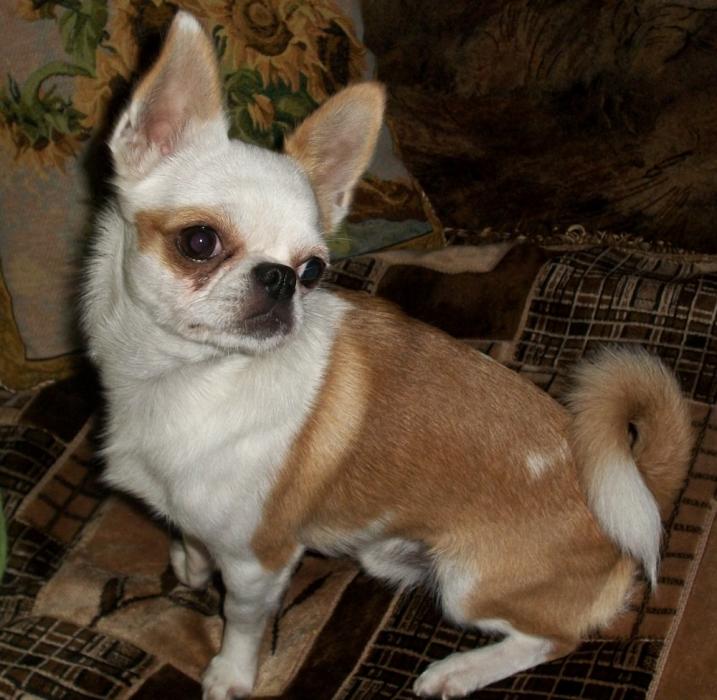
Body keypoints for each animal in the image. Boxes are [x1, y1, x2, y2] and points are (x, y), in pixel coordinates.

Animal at [82, 11, 693, 699]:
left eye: (314, 270)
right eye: (199, 241)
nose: (281, 279)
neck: (182, 380)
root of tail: (637, 480)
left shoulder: (260, 560)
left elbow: (241, 619)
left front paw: (232, 675)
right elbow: (188, 529)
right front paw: (189, 561)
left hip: (468, 582)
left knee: (551, 639)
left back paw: (458, 670)